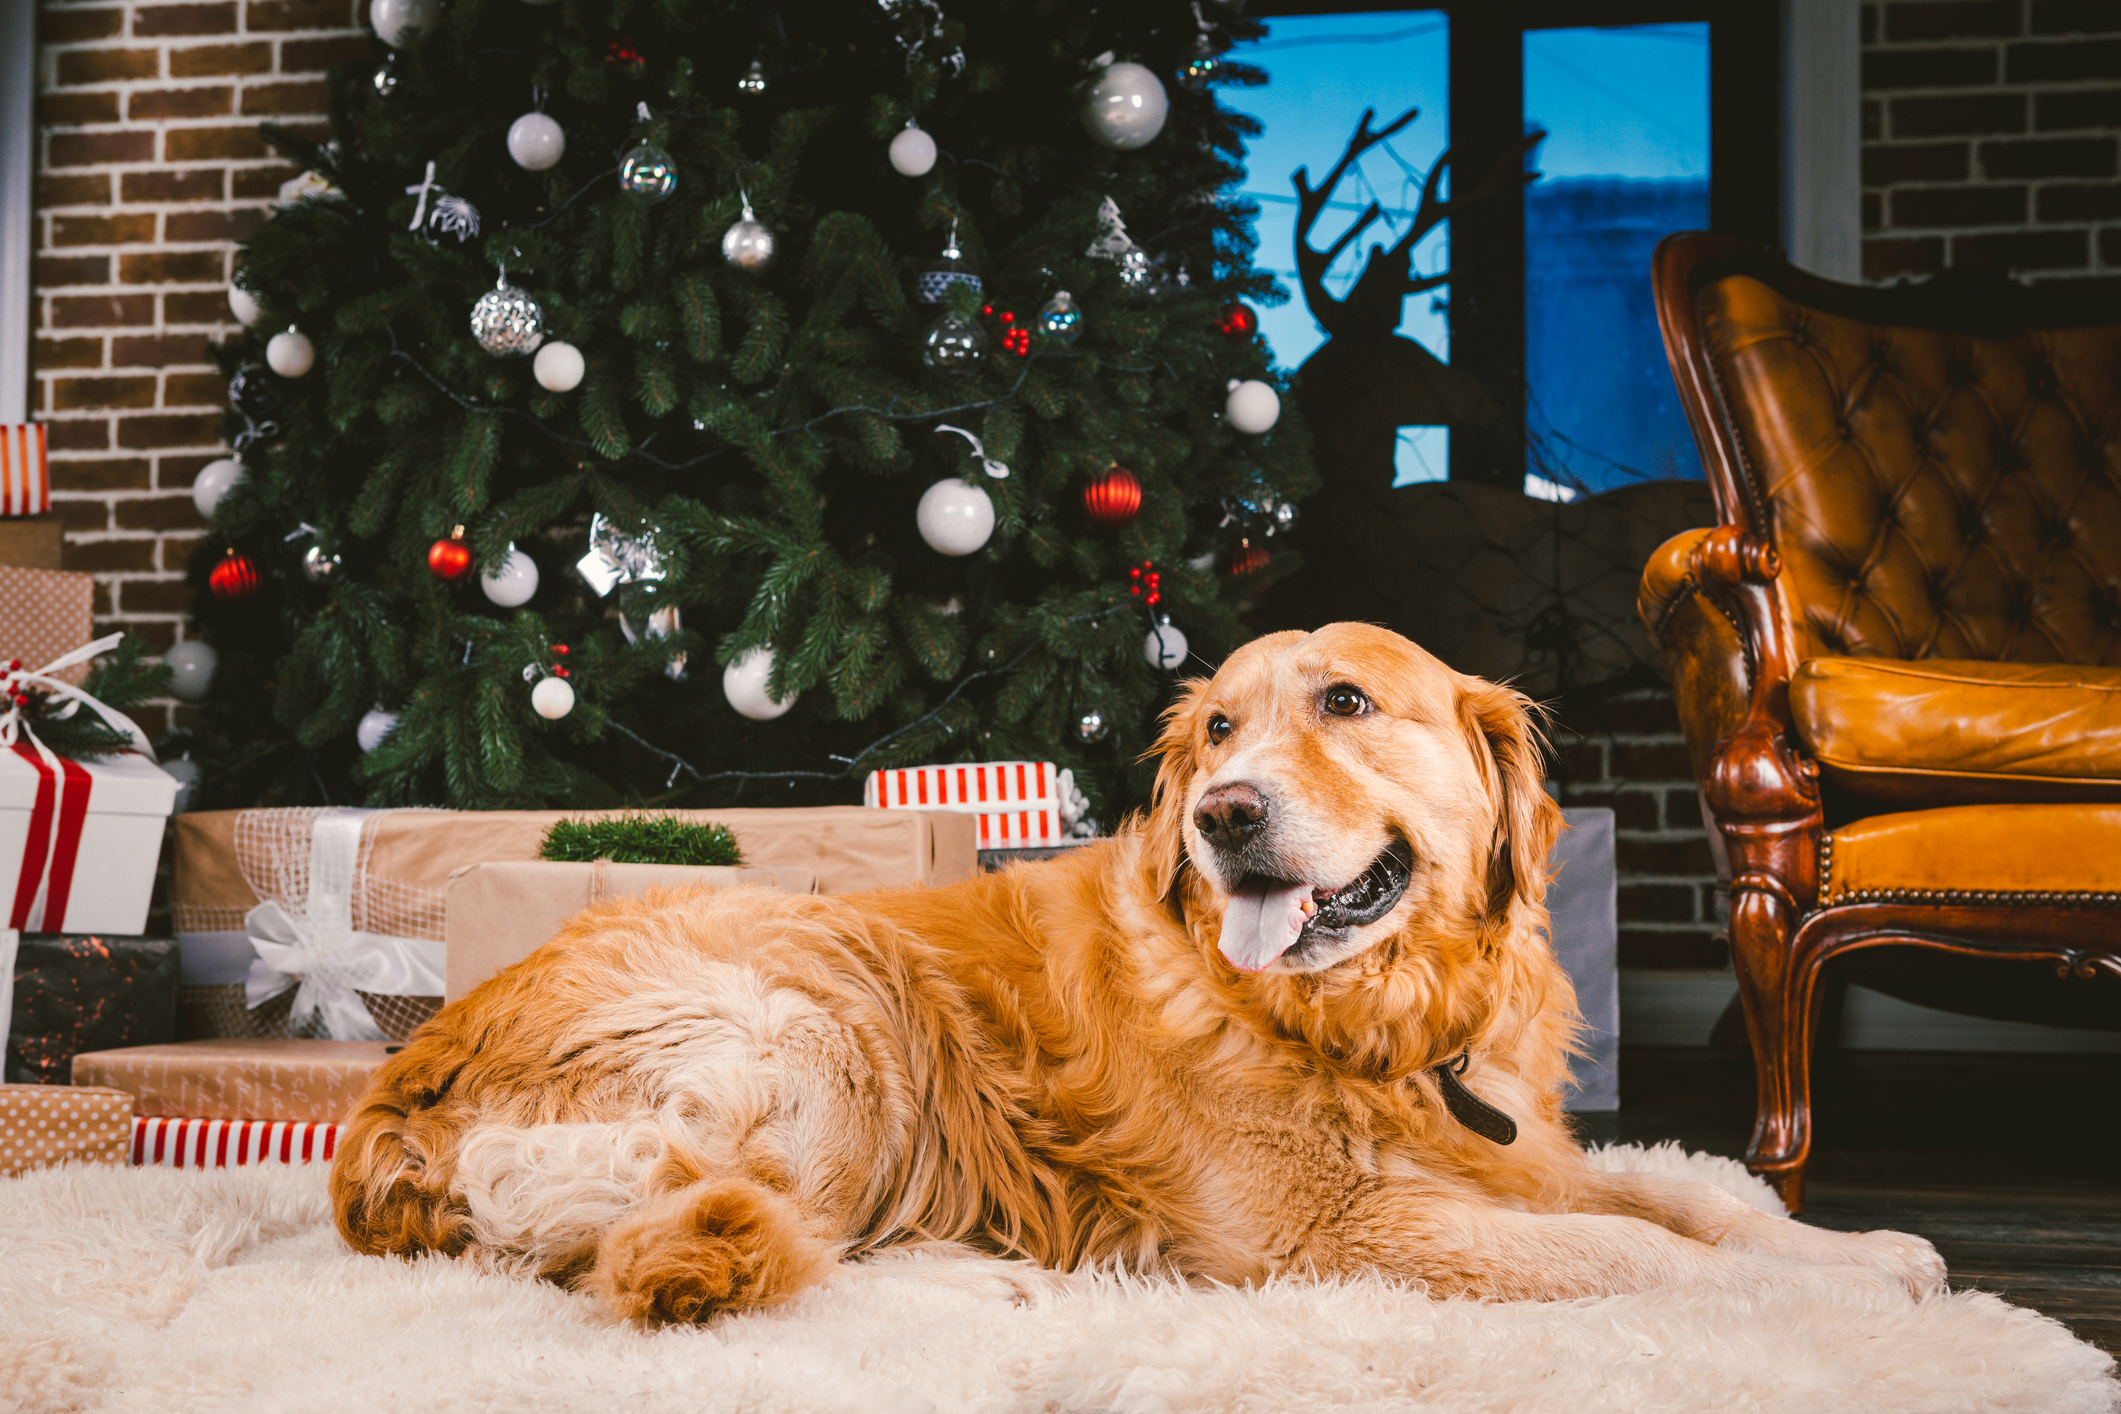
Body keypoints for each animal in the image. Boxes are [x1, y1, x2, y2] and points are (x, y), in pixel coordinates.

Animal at [326, 623, 1942, 1322]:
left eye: (1346, 703)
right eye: (1216, 728)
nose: (1222, 816)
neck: (1373, 1022)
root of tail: (403, 1081)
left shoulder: (1517, 1155)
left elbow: (1691, 1197)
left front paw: (1862, 1251)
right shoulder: (1331, 1235)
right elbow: (1648, 1253)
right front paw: (1820, 1299)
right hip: (832, 1020)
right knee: (619, 1230)